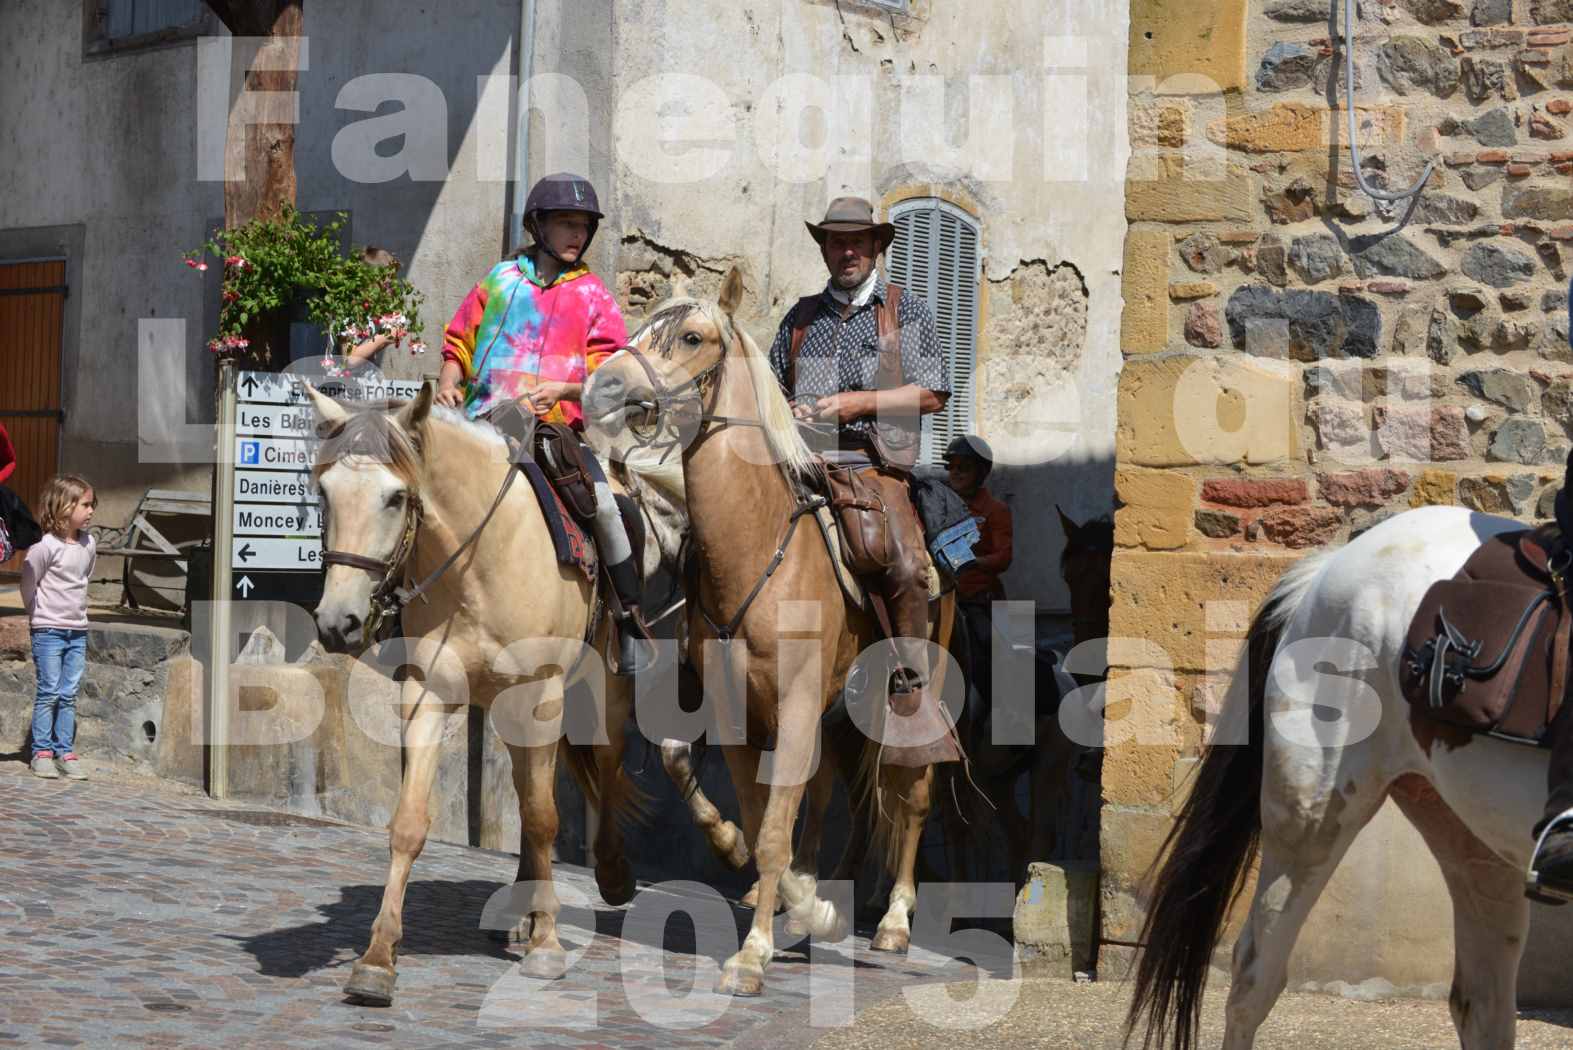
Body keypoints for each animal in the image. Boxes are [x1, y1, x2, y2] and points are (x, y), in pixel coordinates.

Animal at [305, 383, 638, 999]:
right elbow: (410, 822)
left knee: (601, 771)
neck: (480, 562)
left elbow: (544, 817)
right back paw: (519, 910)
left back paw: (608, 875)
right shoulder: (427, 693)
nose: (338, 623)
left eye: (395, 497)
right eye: (326, 493)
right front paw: (377, 959)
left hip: (599, 695)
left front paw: (548, 944)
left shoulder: (541, 696)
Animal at [585, 267, 950, 999]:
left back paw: (894, 921)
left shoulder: (799, 705)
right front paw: (786, 900)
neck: (755, 548)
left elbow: (777, 829)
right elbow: (755, 824)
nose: (603, 386)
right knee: (833, 792)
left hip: (905, 700)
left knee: (914, 796)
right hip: (838, 717)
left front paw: (751, 955)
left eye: (692, 337)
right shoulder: (735, 712)